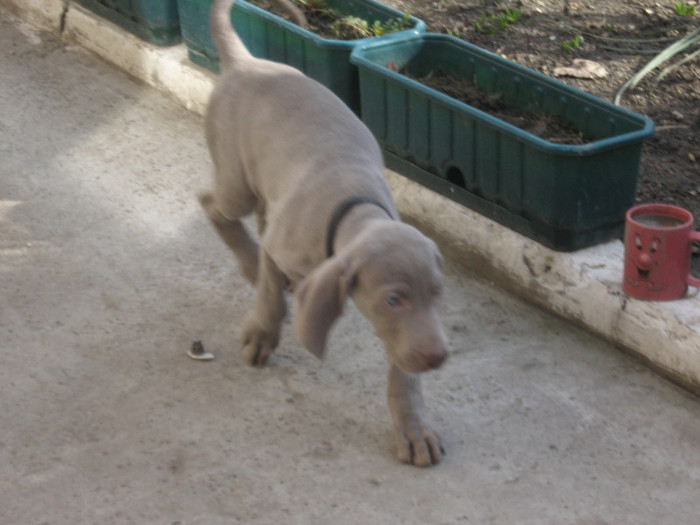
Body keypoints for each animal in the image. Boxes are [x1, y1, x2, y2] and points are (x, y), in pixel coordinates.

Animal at [198, 0, 448, 466]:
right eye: (393, 299)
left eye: (437, 292)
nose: (438, 356)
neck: (356, 206)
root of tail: (245, 62)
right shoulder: (283, 245)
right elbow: (269, 291)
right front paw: (263, 332)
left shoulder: (406, 335)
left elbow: (403, 370)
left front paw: (413, 428)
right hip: (236, 183)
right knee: (214, 205)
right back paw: (248, 260)